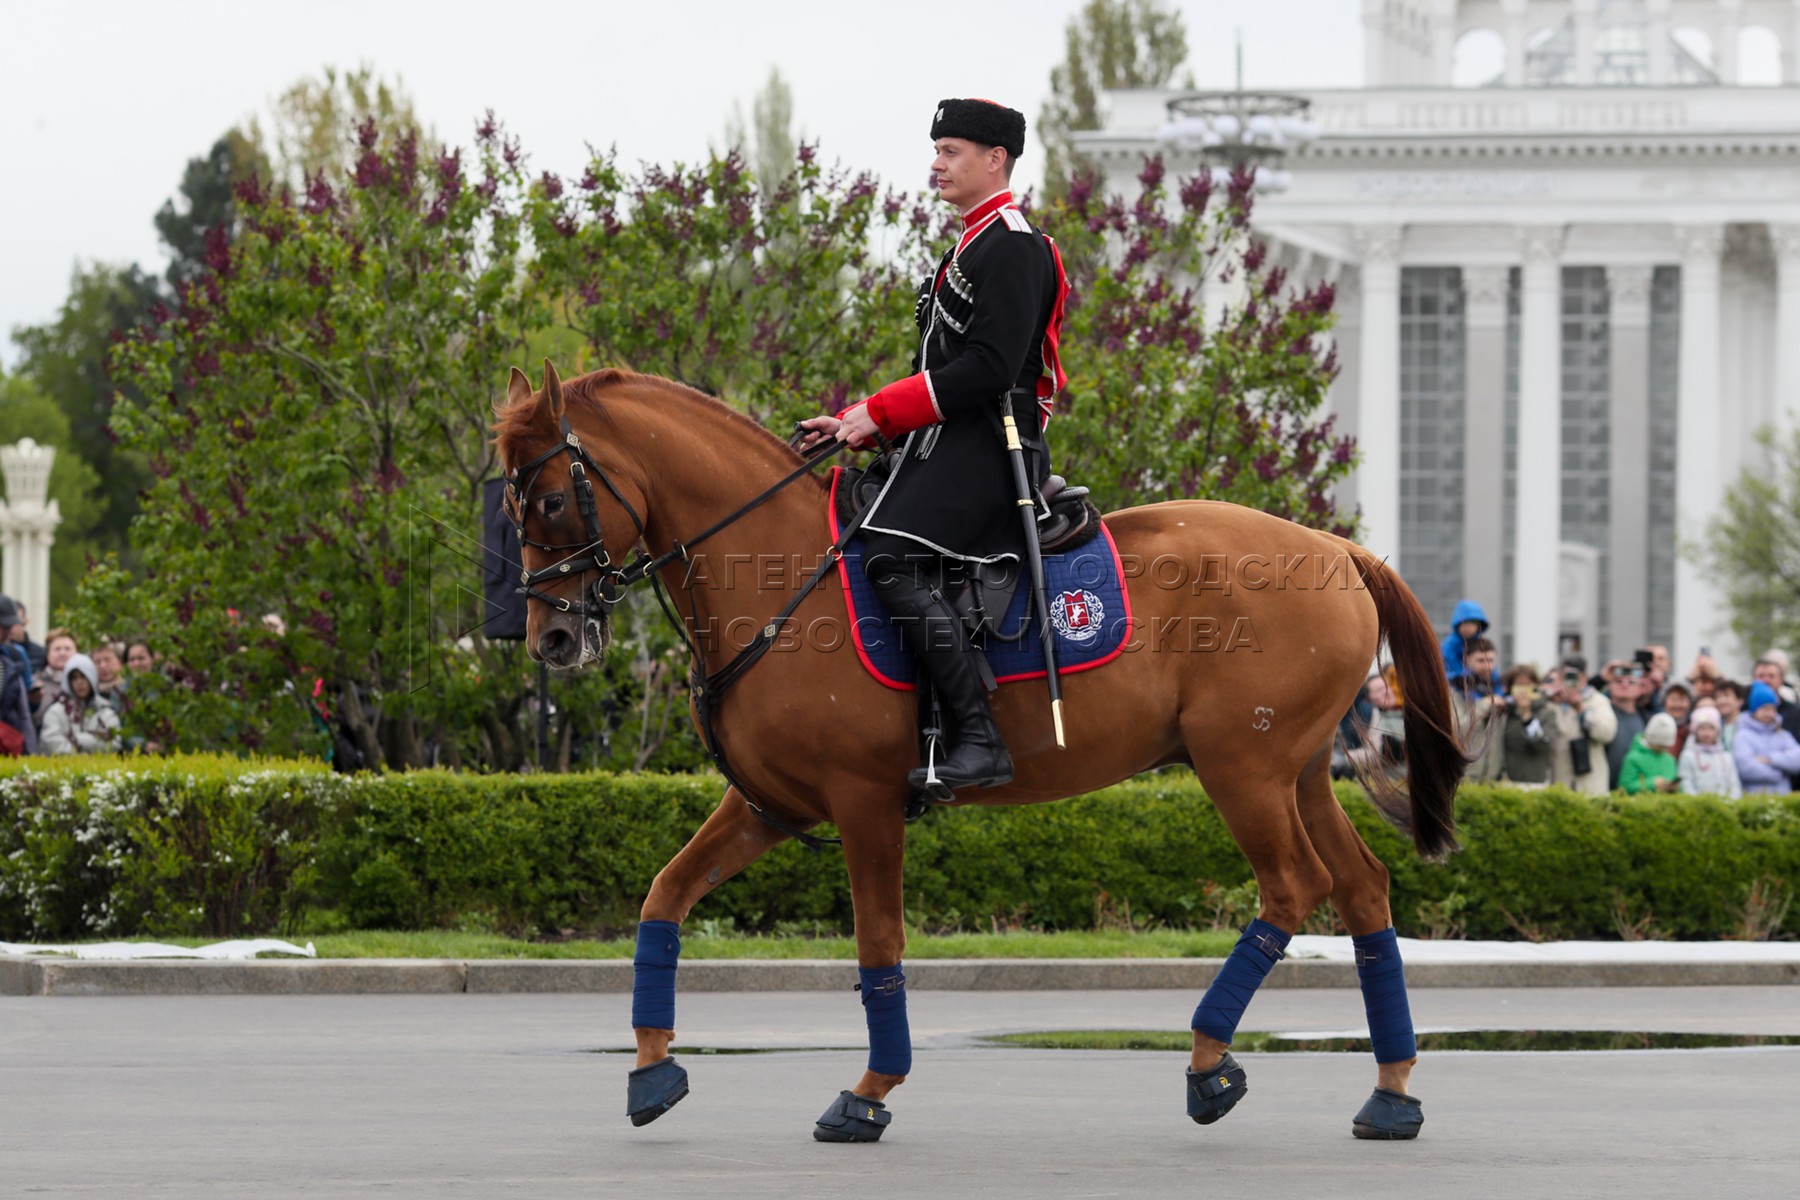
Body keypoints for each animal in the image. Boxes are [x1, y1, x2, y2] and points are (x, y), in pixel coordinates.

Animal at [492, 361, 1463, 1142]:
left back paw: (1208, 1059)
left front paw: (870, 1091)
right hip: (1297, 773)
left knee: (1293, 886)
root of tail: (1333, 547)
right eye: (508, 504)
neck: (780, 572)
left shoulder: (865, 803)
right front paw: (652, 1066)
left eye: (549, 500)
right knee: (1362, 887)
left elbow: (878, 944)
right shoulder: (768, 806)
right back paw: (1393, 1091)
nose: (550, 637)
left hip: (1244, 771)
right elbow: (666, 895)